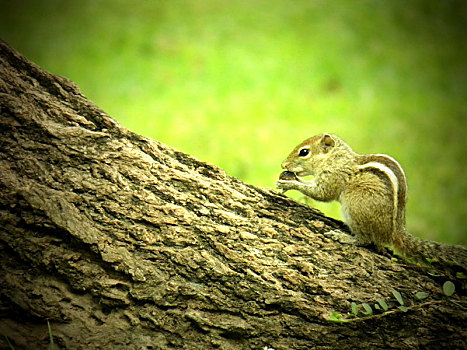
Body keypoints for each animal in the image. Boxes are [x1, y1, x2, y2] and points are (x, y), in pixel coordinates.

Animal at [278, 133, 467, 270]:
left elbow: (322, 193)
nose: (283, 165)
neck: (336, 158)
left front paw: (290, 183)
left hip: (356, 206)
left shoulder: (333, 177)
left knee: (366, 240)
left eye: (304, 152)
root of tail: (394, 231)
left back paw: (344, 237)